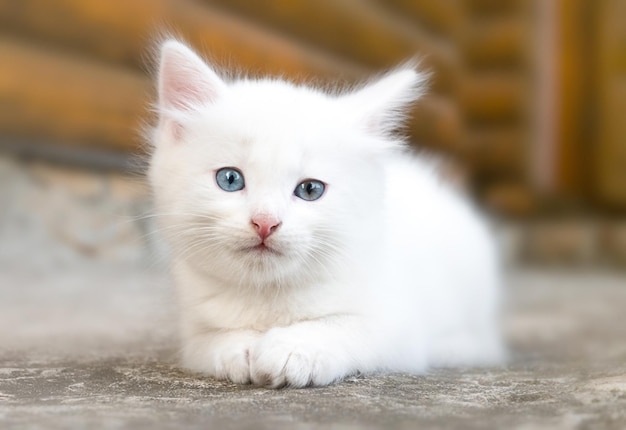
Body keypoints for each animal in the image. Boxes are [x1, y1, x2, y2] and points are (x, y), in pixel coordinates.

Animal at [147, 40, 502, 388]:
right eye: (230, 179)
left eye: (310, 190)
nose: (265, 222)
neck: (269, 294)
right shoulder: (194, 331)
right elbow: (210, 342)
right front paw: (240, 348)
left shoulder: (400, 328)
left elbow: (347, 328)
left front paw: (293, 349)